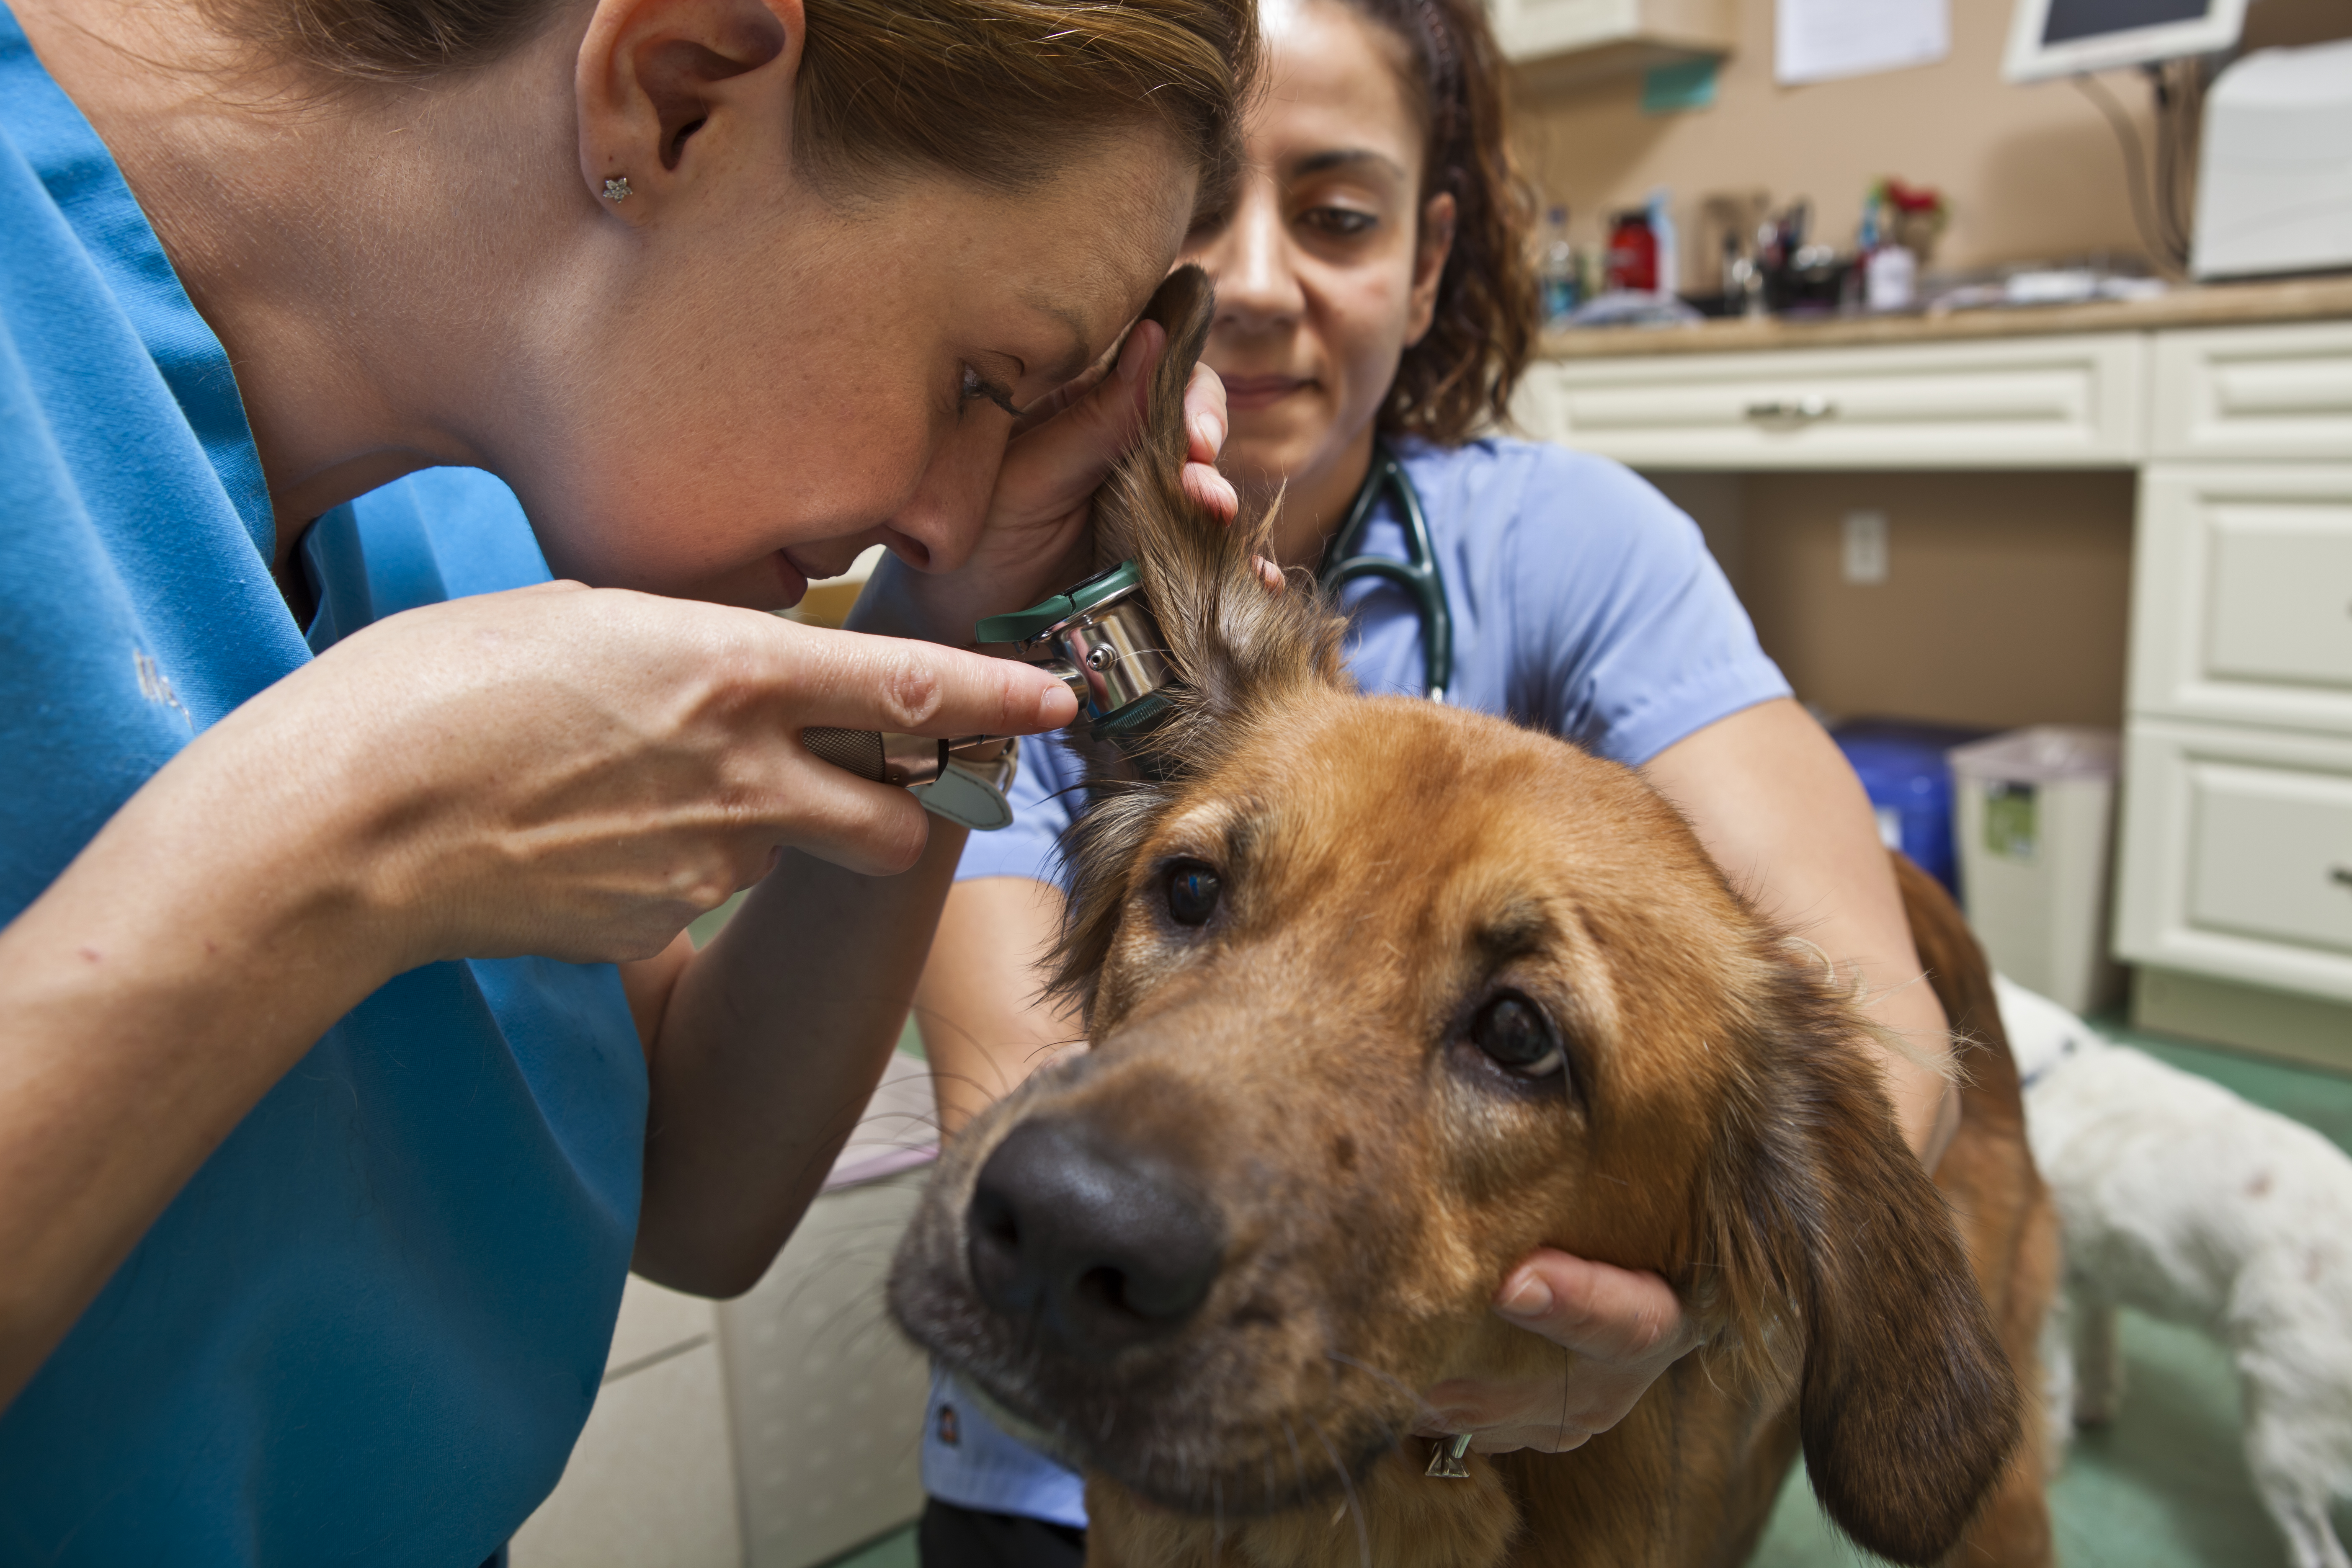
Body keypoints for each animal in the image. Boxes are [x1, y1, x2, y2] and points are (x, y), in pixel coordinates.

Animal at [1994, 973, 2352, 1561]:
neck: (2051, 1073)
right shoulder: (2094, 1282)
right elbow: (2101, 1356)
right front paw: (2097, 1408)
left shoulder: (2054, 1297)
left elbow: (2051, 1393)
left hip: (2283, 1432)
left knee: (2317, 1550)